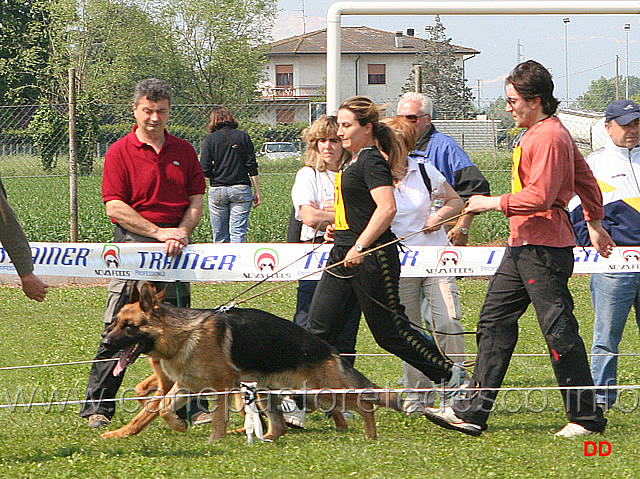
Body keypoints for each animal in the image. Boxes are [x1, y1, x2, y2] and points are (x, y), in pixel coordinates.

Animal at [100, 284, 400, 444]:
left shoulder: (220, 388)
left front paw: (214, 442)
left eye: (128, 326)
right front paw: (179, 425)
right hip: (270, 392)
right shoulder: (185, 386)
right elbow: (162, 408)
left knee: (365, 404)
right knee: (279, 426)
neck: (183, 334)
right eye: (114, 322)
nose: (104, 340)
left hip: (322, 392)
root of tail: (328, 349)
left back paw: (371, 435)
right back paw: (264, 440)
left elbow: (217, 419)